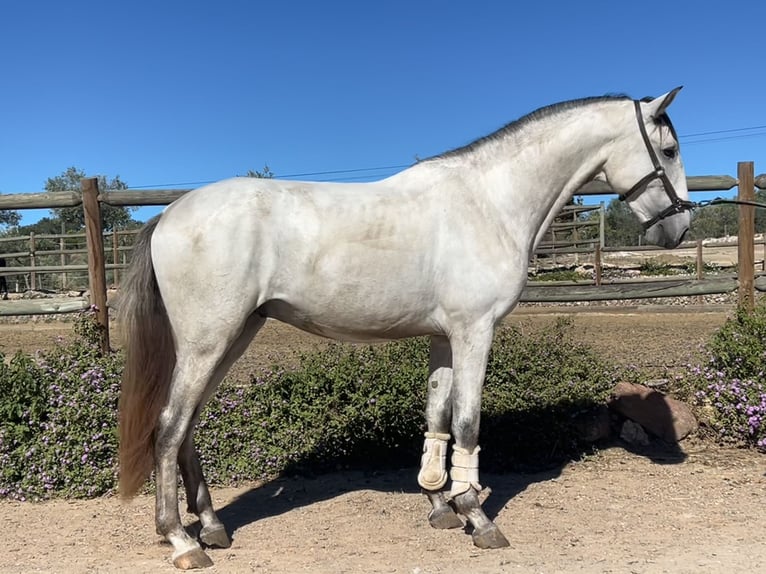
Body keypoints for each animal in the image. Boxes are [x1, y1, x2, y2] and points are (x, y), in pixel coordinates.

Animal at [118, 88, 691, 569]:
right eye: (668, 150)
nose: (679, 227)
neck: (489, 202)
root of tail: (170, 214)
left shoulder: (443, 337)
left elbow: (437, 416)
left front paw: (440, 503)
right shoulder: (474, 331)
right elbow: (468, 423)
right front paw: (478, 517)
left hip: (233, 337)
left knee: (188, 425)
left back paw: (212, 526)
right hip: (208, 340)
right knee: (169, 426)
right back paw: (181, 541)